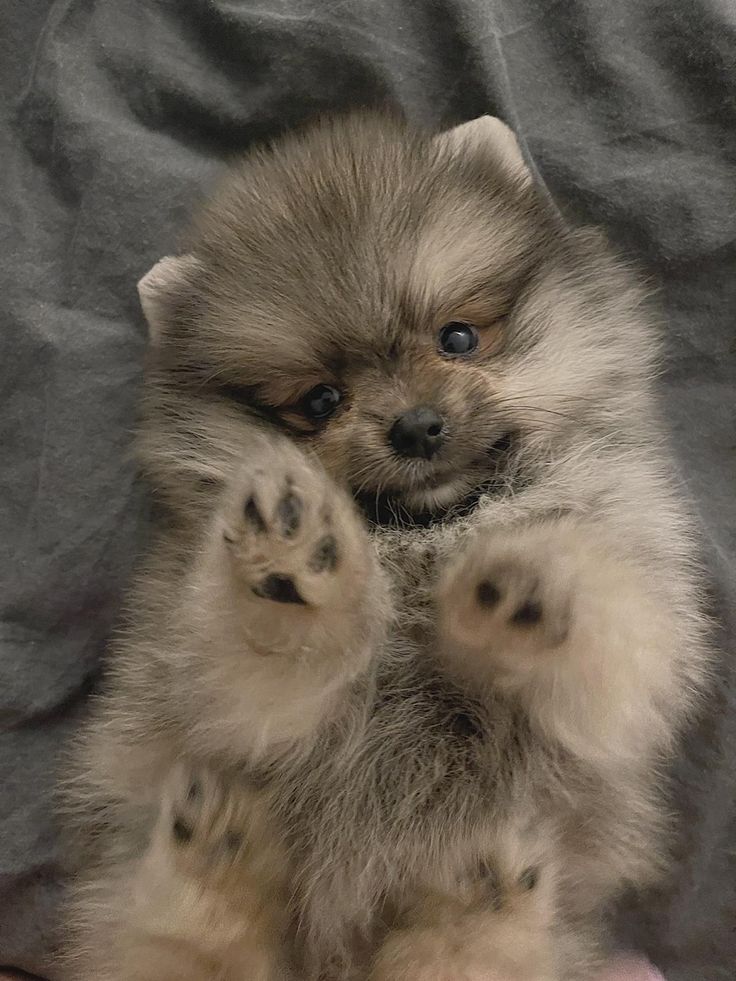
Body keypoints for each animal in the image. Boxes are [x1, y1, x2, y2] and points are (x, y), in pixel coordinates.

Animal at [59, 113, 712, 980]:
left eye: (458, 337)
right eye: (320, 400)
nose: (416, 425)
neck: (424, 538)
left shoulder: (629, 631)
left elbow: (611, 625)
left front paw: (533, 574)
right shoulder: (227, 689)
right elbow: (260, 665)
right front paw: (292, 563)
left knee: (470, 953)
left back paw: (479, 892)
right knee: (181, 943)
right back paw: (216, 855)